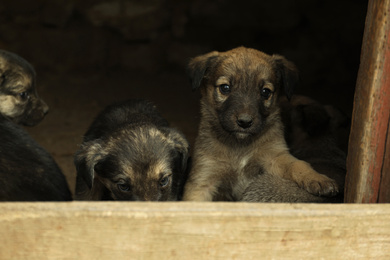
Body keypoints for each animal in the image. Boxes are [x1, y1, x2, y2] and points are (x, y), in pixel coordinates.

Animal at [183, 46, 338, 201]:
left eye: (265, 92)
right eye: (225, 88)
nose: (245, 122)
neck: (240, 145)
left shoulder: (275, 157)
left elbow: (298, 164)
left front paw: (317, 178)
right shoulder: (203, 178)